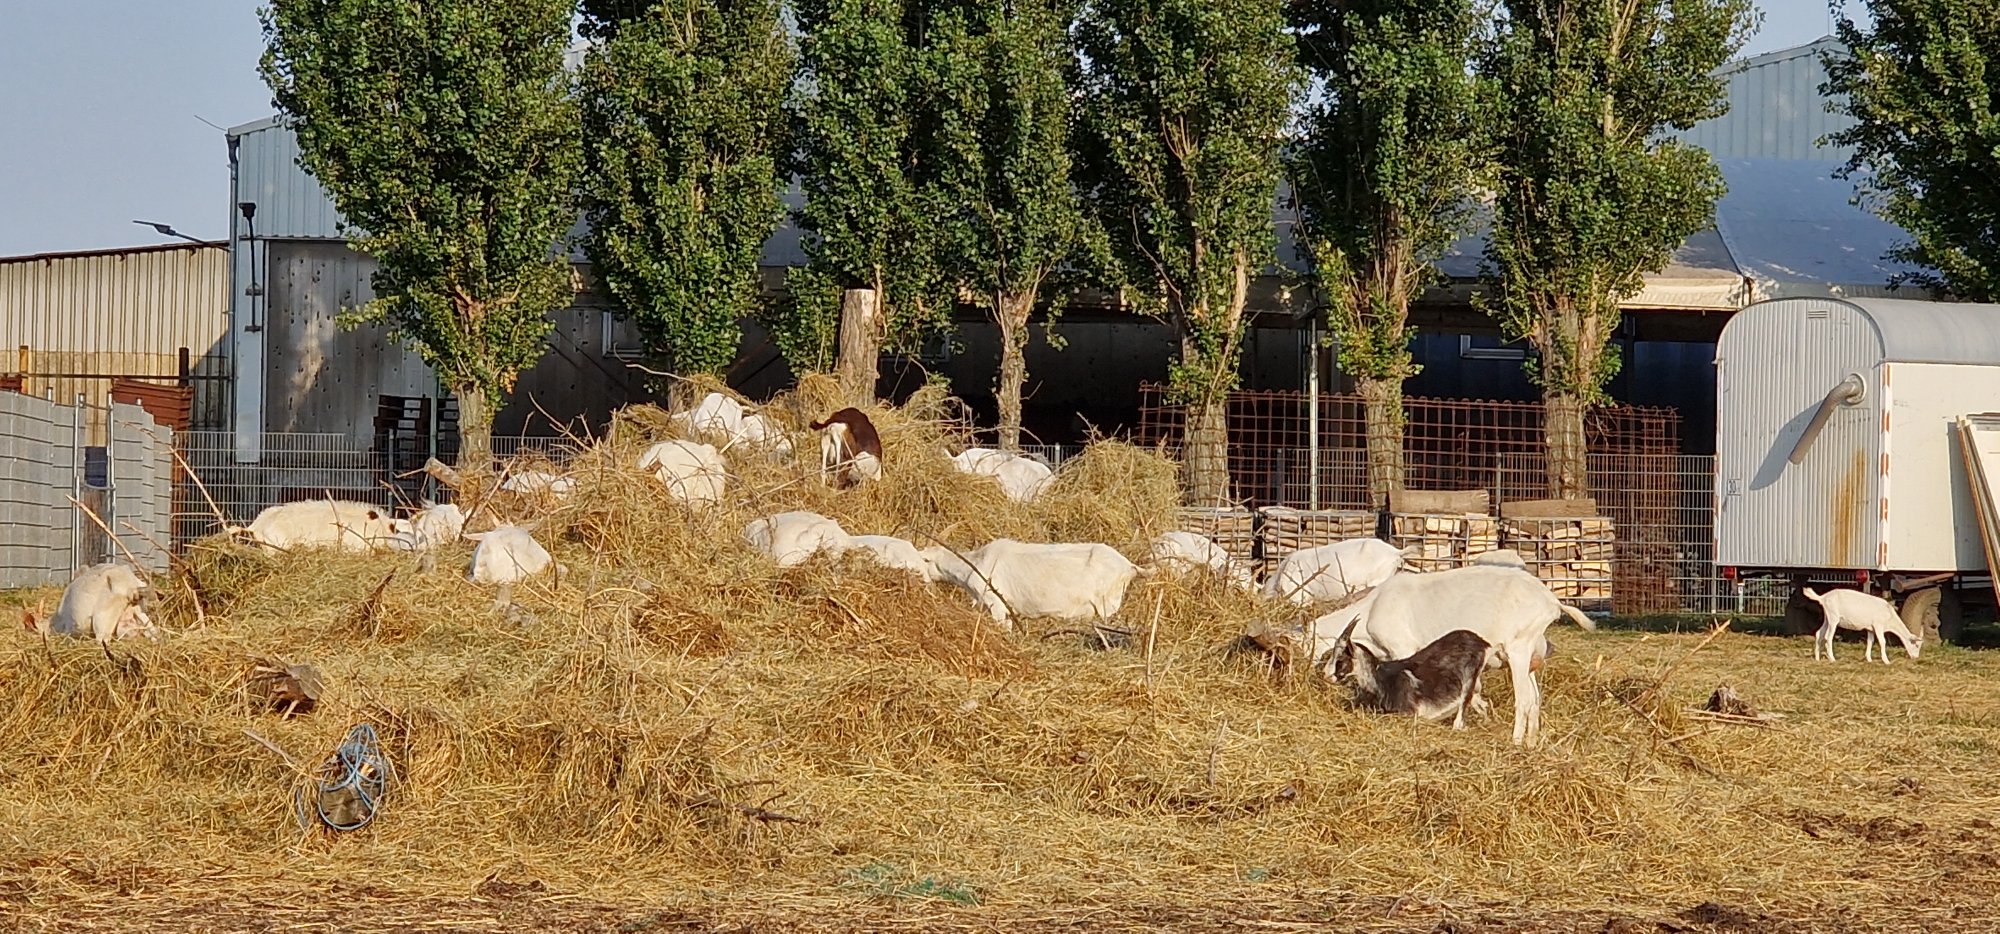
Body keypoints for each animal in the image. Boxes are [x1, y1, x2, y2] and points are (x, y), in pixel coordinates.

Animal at [1320, 568, 1600, 748]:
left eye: (1339, 653)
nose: (1325, 675)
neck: (1373, 608)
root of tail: (1552, 602)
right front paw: (1481, 711)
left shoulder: (1403, 649)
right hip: (1528, 655)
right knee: (1535, 699)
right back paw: (1531, 742)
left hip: (1518, 650)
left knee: (1524, 700)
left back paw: (1516, 740)